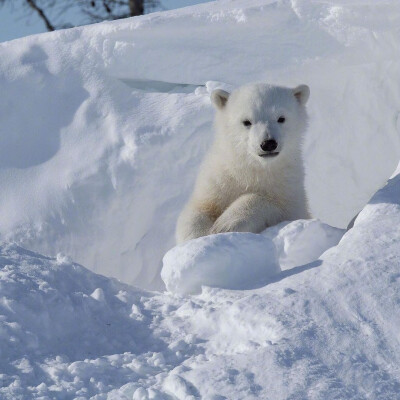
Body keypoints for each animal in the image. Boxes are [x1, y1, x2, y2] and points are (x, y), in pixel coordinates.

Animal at [177, 82, 310, 242]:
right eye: (247, 122)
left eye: (281, 118)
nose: (268, 144)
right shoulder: (218, 181)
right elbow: (198, 209)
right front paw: (199, 237)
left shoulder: (289, 190)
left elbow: (274, 203)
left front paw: (226, 223)